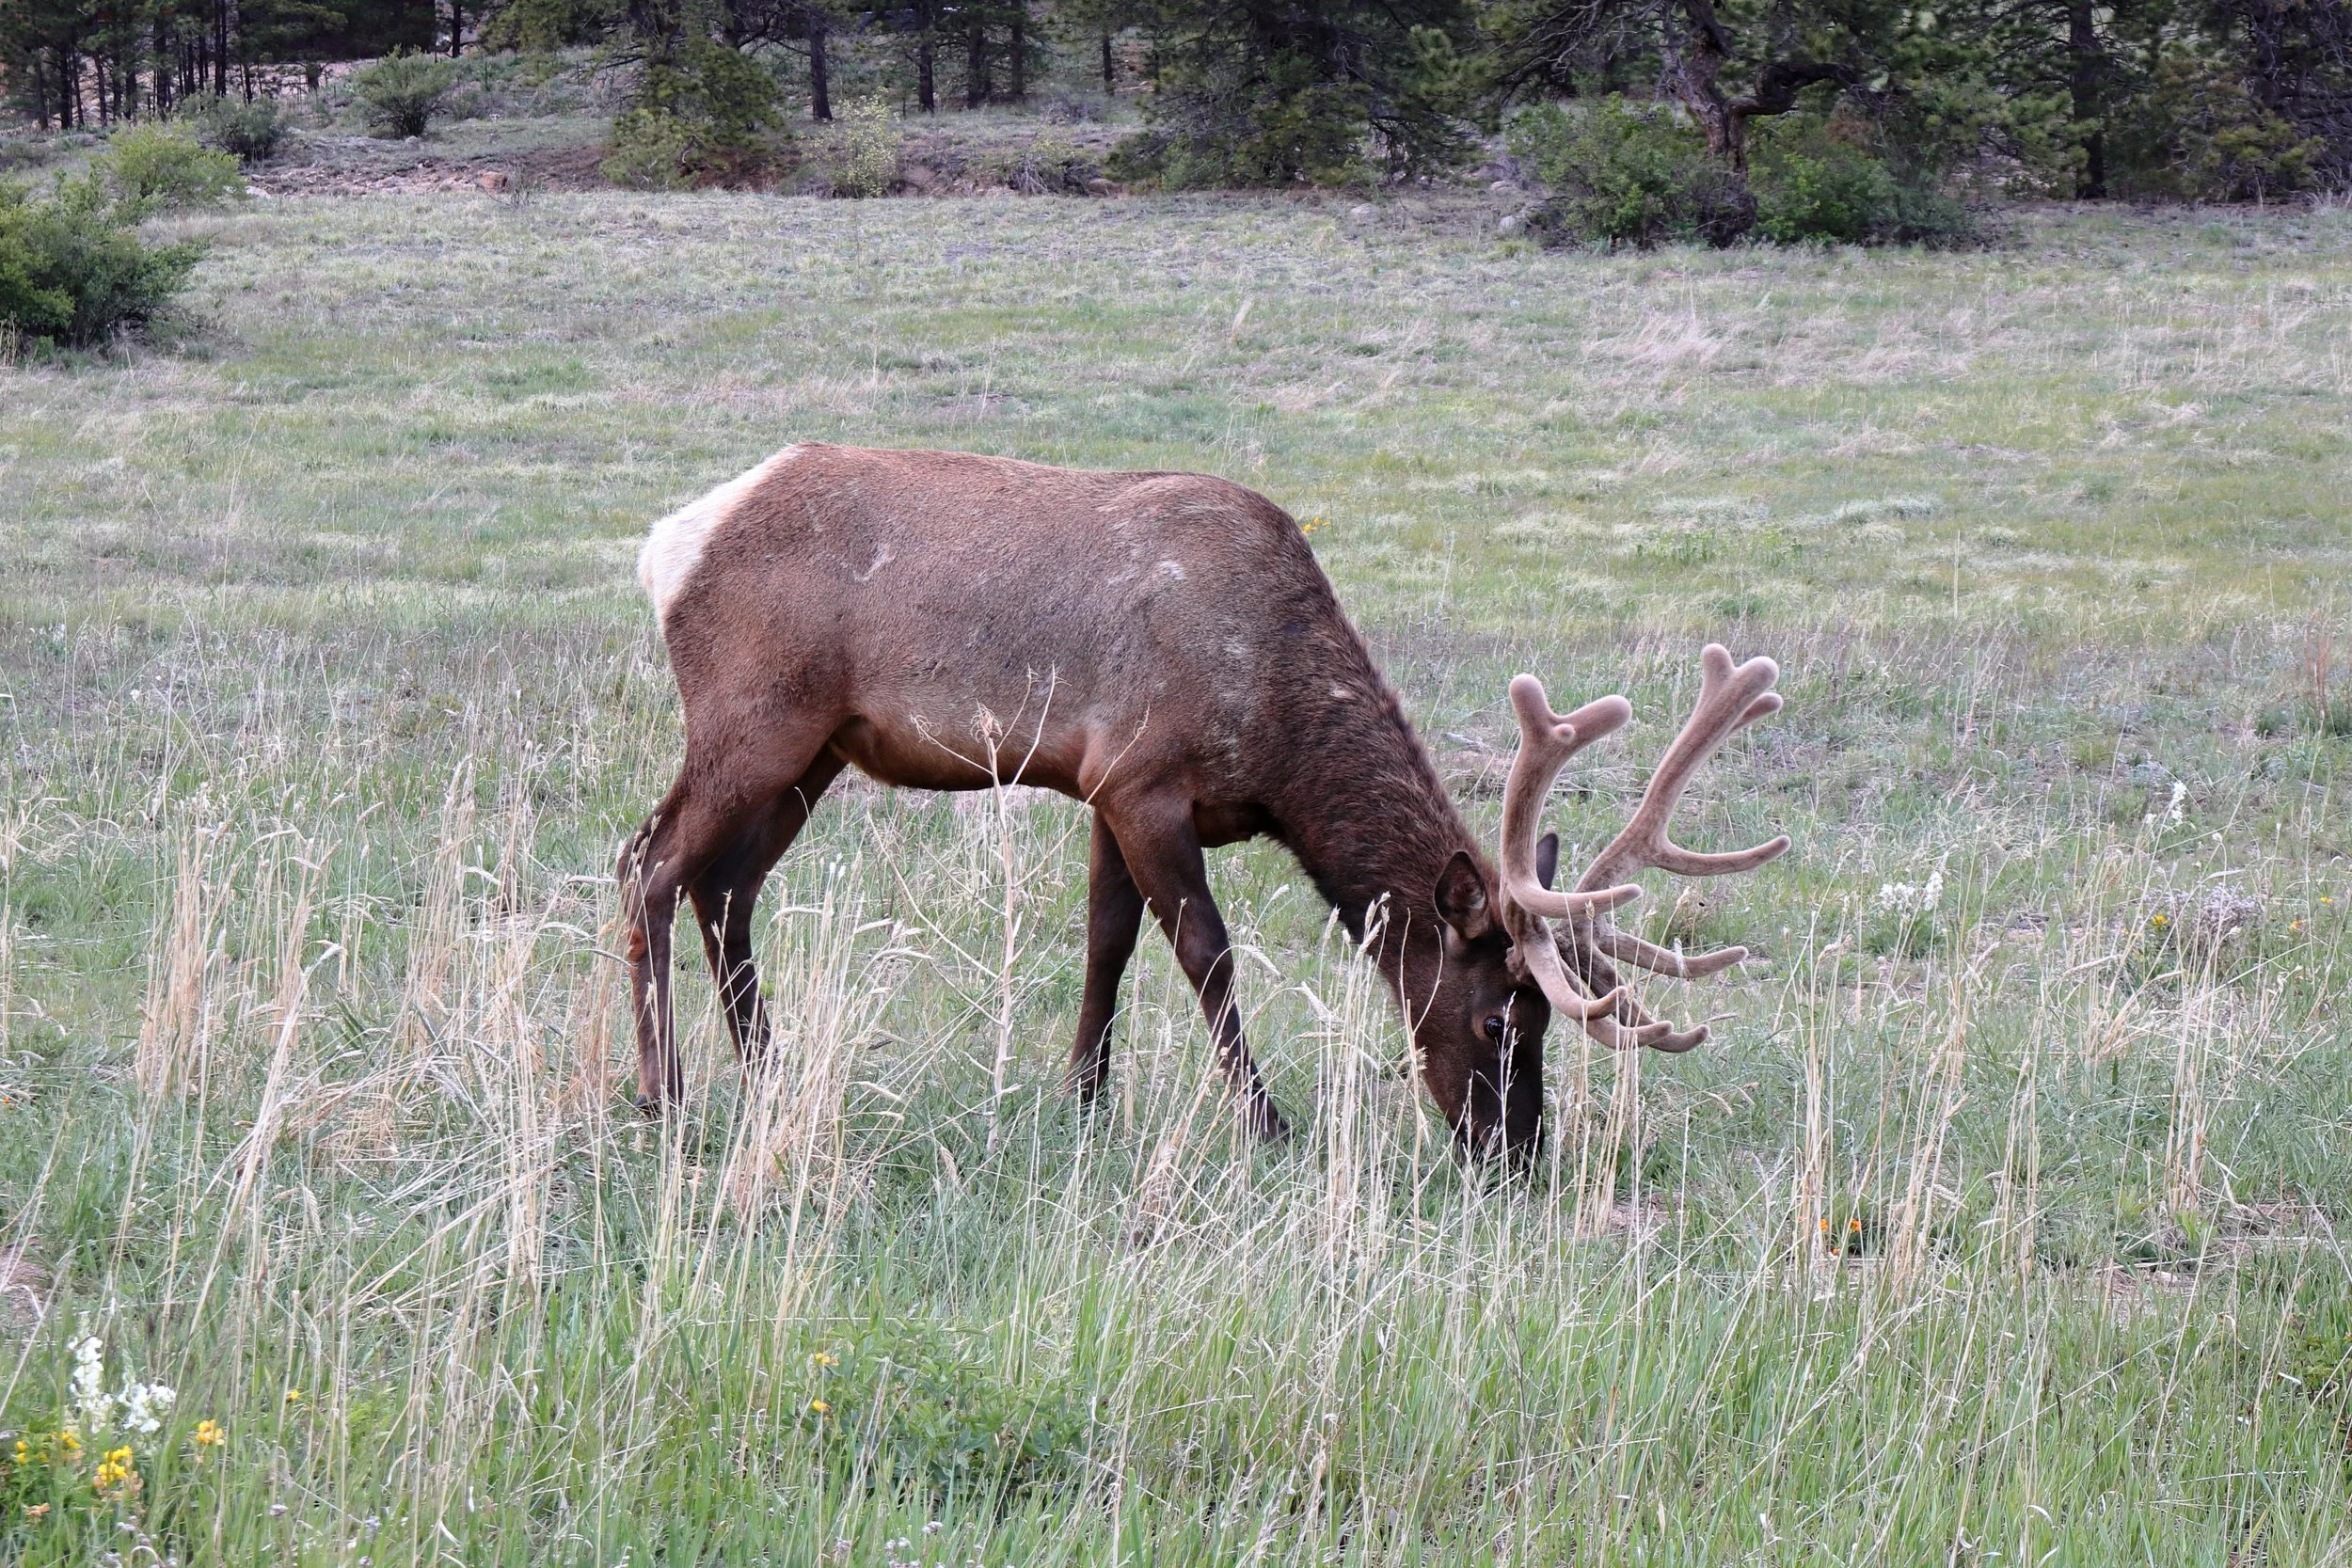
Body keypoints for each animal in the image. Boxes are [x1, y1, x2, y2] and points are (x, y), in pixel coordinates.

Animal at [620, 442, 1789, 1161]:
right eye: (1500, 1015)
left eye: (1548, 1015)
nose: (1516, 1151)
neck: (1275, 738)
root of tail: (668, 541)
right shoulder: (1142, 778)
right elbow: (1204, 952)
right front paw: (1266, 1123)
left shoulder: (1101, 786)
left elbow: (1106, 941)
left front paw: (1083, 1099)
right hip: (753, 713)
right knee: (650, 862)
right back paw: (665, 1093)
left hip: (814, 748)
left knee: (725, 889)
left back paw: (770, 1072)